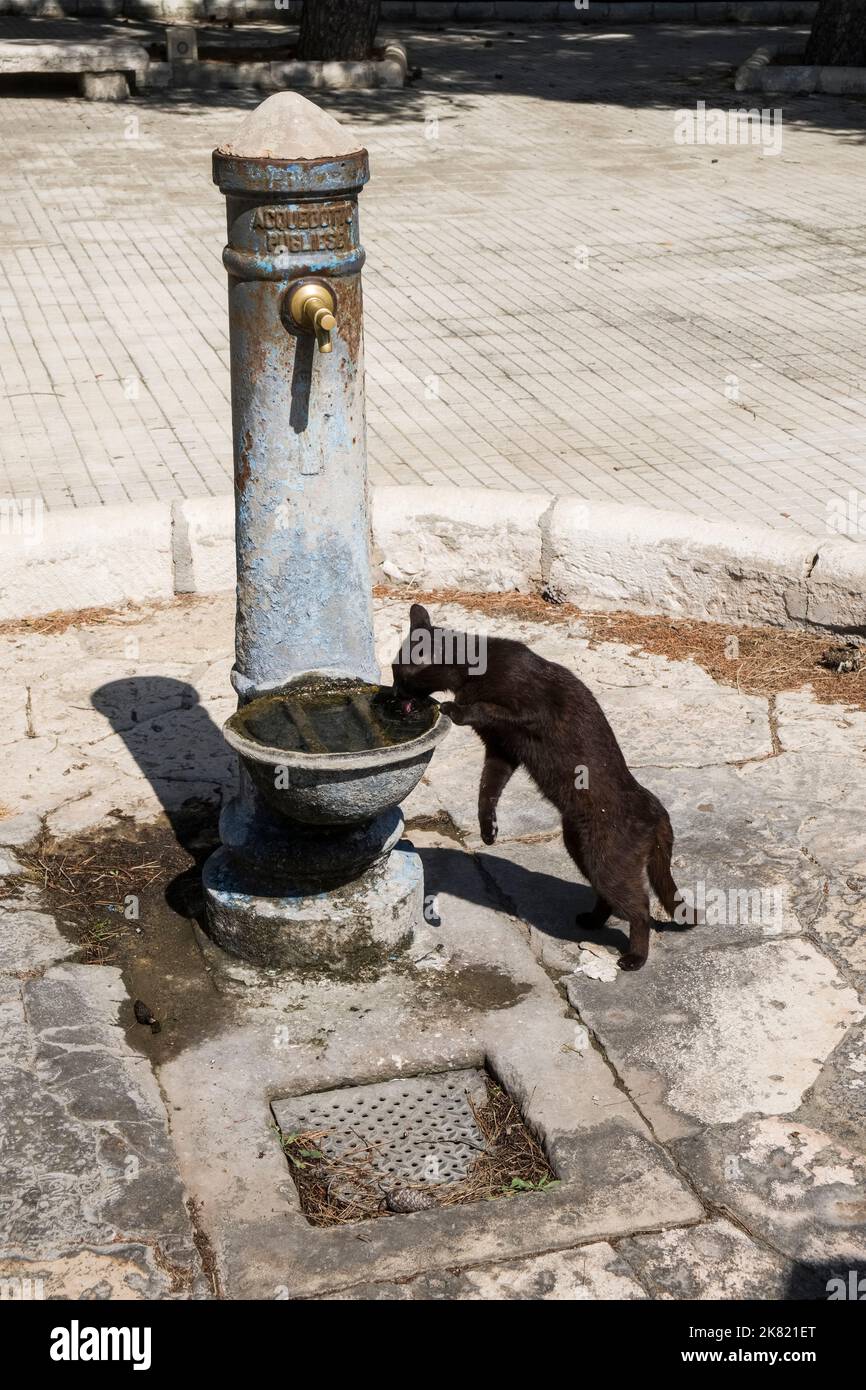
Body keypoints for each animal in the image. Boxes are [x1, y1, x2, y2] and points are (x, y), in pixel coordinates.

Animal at [391, 603, 697, 973]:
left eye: (398, 675)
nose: (392, 695)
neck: (471, 673)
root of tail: (657, 810)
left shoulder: (530, 714)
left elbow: (484, 708)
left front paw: (454, 709)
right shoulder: (501, 750)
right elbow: (487, 789)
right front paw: (488, 829)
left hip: (606, 860)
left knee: (640, 909)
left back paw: (634, 958)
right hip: (579, 847)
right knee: (611, 898)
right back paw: (591, 920)